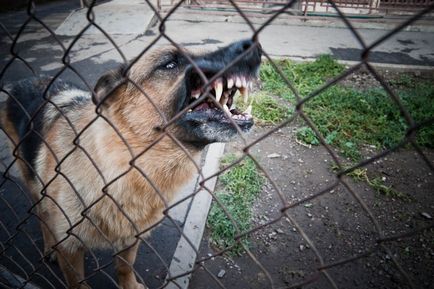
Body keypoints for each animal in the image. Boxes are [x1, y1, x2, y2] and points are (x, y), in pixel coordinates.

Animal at [0, 39, 262, 286]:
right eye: (170, 63)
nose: (254, 47)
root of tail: (23, 82)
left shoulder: (131, 237)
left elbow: (125, 267)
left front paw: (129, 285)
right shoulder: (70, 247)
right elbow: (77, 282)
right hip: (34, 185)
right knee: (42, 215)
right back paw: (48, 246)